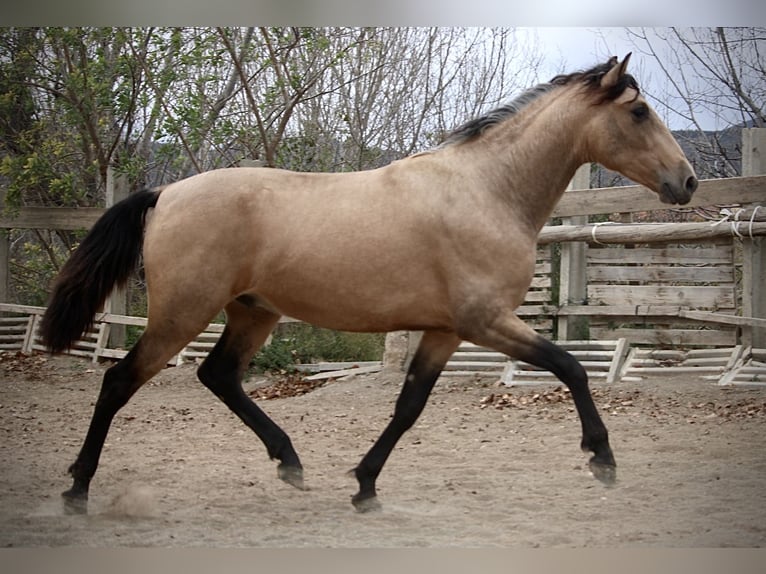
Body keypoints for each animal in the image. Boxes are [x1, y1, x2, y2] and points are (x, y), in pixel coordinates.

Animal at [42, 54, 704, 512]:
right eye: (638, 111)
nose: (688, 181)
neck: (487, 190)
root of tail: (165, 191)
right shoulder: (486, 322)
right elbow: (570, 368)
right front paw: (602, 459)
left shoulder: (445, 331)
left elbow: (409, 406)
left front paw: (364, 486)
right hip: (183, 313)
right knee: (119, 381)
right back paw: (77, 488)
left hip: (253, 311)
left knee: (219, 376)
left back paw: (290, 462)